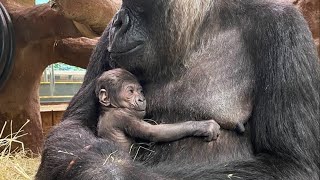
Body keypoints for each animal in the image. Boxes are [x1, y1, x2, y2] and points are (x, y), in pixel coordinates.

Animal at [37, 0, 320, 180]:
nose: (118, 22)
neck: (201, 27)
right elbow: (75, 125)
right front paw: (105, 170)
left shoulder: (284, 27)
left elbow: (289, 162)